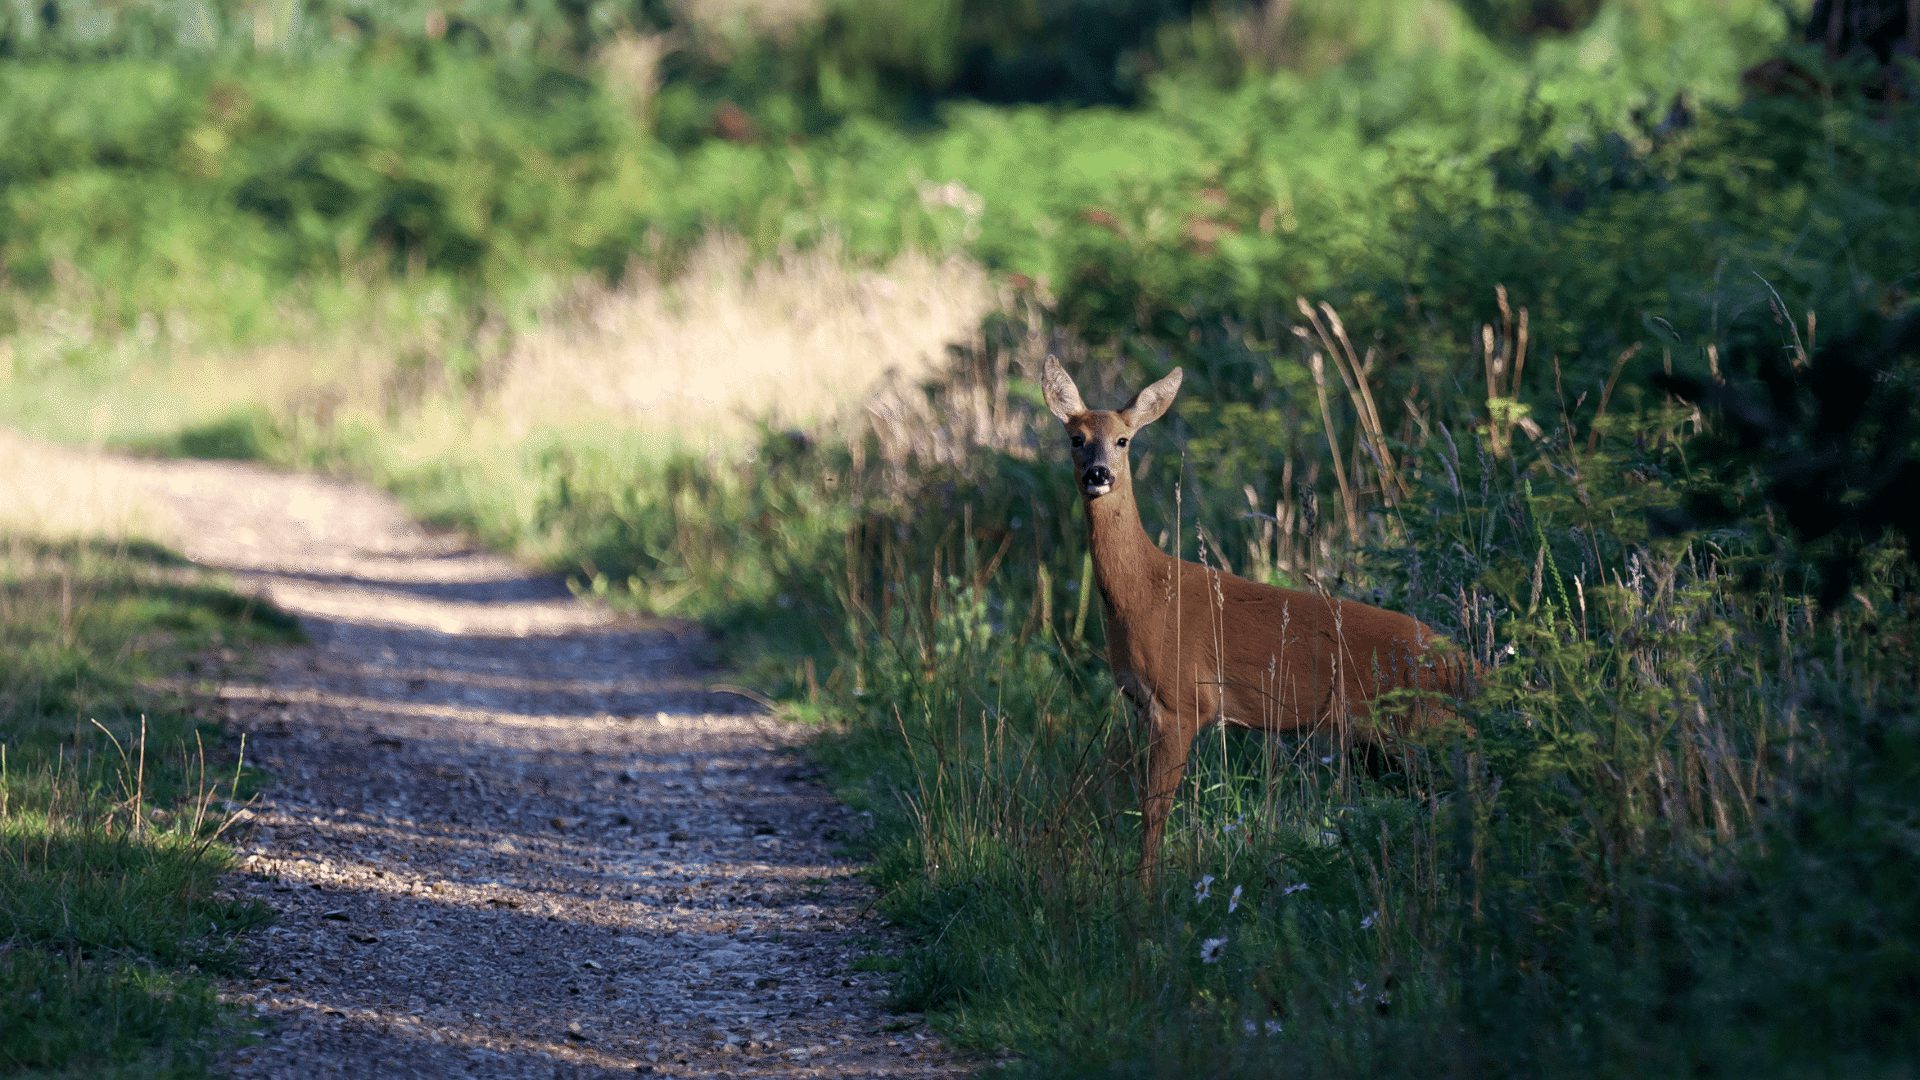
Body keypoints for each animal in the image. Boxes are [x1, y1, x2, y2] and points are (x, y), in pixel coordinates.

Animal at [1041, 357, 1473, 883]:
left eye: (1123, 439)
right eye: (1075, 438)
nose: (1098, 473)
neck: (1146, 592)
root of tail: (1464, 663)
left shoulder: (1183, 702)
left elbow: (1153, 811)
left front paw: (1144, 892)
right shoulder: (1146, 707)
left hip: (1424, 724)